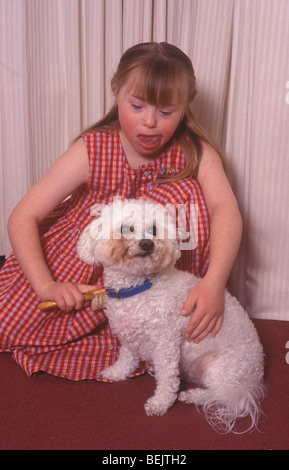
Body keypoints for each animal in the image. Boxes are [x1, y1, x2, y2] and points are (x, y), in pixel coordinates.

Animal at [76, 196, 264, 432]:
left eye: (154, 230)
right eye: (126, 228)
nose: (147, 243)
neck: (139, 287)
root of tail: (257, 376)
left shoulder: (165, 343)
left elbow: (167, 378)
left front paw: (159, 403)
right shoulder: (128, 336)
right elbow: (126, 358)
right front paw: (116, 372)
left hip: (221, 369)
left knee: (222, 396)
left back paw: (194, 396)